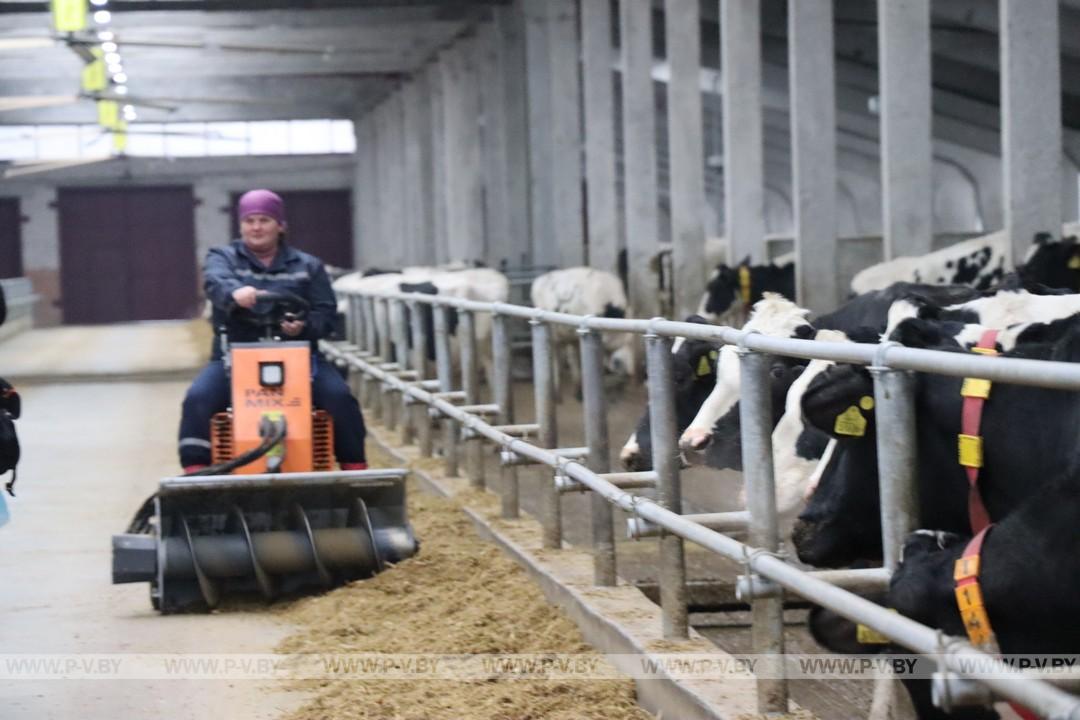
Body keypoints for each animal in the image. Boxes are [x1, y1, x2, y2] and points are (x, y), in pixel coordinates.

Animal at [529, 266, 630, 397]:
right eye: (617, 361)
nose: (625, 373)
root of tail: (539, 280)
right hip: (552, 334)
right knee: (556, 357)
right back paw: (557, 393)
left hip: (567, 335)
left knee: (571, 357)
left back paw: (576, 388)